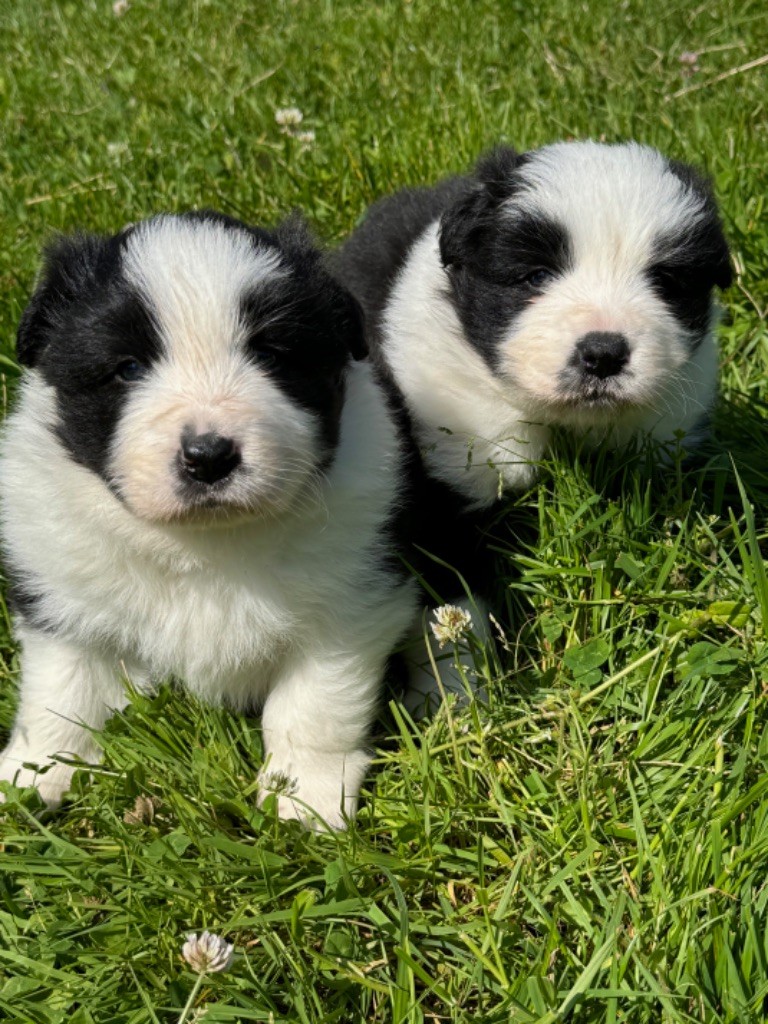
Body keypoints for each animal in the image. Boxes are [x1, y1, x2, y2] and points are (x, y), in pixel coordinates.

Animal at [0, 209, 417, 823]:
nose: (209, 456)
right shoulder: (59, 588)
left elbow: (314, 705)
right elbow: (61, 688)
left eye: (271, 355)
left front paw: (303, 796)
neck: (203, 542)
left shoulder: (350, 604)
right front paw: (37, 774)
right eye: (127, 368)